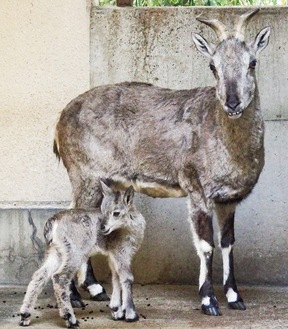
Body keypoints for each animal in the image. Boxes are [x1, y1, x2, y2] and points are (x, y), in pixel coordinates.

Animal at [19, 183, 146, 326]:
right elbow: (127, 277)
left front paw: (116, 310)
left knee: (40, 275)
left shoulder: (113, 254)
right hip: (75, 251)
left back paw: (25, 316)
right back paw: (70, 318)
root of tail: (53, 223)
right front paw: (130, 314)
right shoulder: (121, 251)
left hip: (56, 251)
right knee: (59, 276)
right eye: (102, 210)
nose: (102, 227)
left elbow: (116, 277)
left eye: (116, 213)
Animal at [53, 9, 270, 314]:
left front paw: (235, 297)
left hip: (103, 181)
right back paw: (73, 295)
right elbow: (206, 245)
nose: (232, 102)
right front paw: (208, 301)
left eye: (252, 62)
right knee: (75, 218)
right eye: (212, 66)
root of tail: (61, 118)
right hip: (84, 175)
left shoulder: (229, 199)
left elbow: (228, 243)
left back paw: (95, 289)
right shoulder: (197, 189)